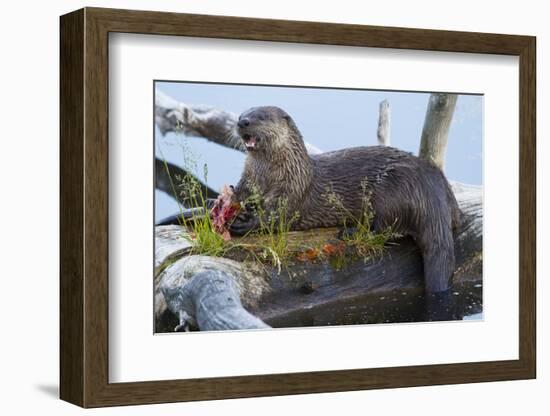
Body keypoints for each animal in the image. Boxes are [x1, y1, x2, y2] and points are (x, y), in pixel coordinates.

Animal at [231, 105, 464, 294]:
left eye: (261, 117)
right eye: (242, 114)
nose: (242, 122)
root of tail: (433, 197)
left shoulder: (291, 191)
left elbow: (276, 217)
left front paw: (244, 224)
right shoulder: (248, 182)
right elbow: (239, 195)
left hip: (392, 192)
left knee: (383, 230)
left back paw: (349, 232)